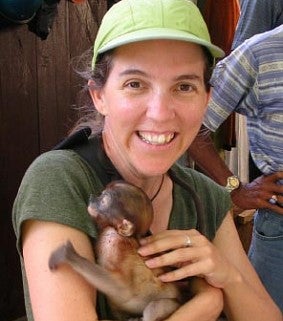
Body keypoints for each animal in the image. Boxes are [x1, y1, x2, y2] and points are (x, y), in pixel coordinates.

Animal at [48, 181, 182, 320]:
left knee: (153, 308)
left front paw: (69, 255)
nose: (92, 197)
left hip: (171, 305)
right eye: (101, 194)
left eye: (103, 201)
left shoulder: (112, 239)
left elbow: (121, 289)